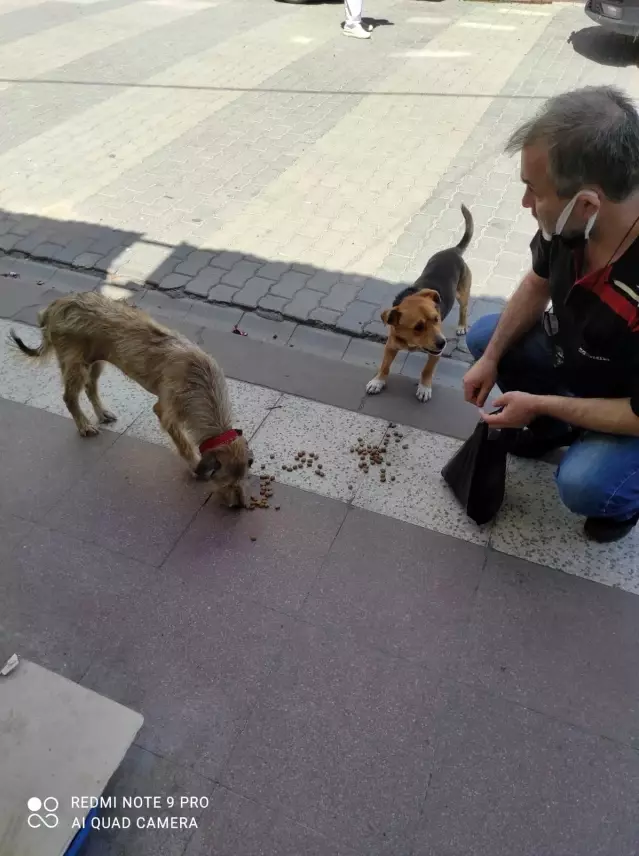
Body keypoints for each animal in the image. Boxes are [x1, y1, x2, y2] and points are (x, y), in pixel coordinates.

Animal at [10, 292, 254, 508]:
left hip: (96, 362)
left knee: (91, 387)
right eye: (226, 482)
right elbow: (183, 443)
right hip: (75, 365)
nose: (239, 506)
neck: (200, 381)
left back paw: (102, 414)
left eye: (244, 478)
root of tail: (54, 306)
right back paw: (84, 425)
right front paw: (194, 464)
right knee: (70, 397)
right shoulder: (165, 411)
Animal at [364, 204, 476, 402]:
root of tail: (453, 251)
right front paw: (378, 381)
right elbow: (385, 366)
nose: (443, 343)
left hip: (463, 293)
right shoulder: (390, 346)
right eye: (418, 327)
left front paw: (424, 388)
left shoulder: (435, 354)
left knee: (463, 309)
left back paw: (462, 326)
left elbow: (427, 371)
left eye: (436, 319)